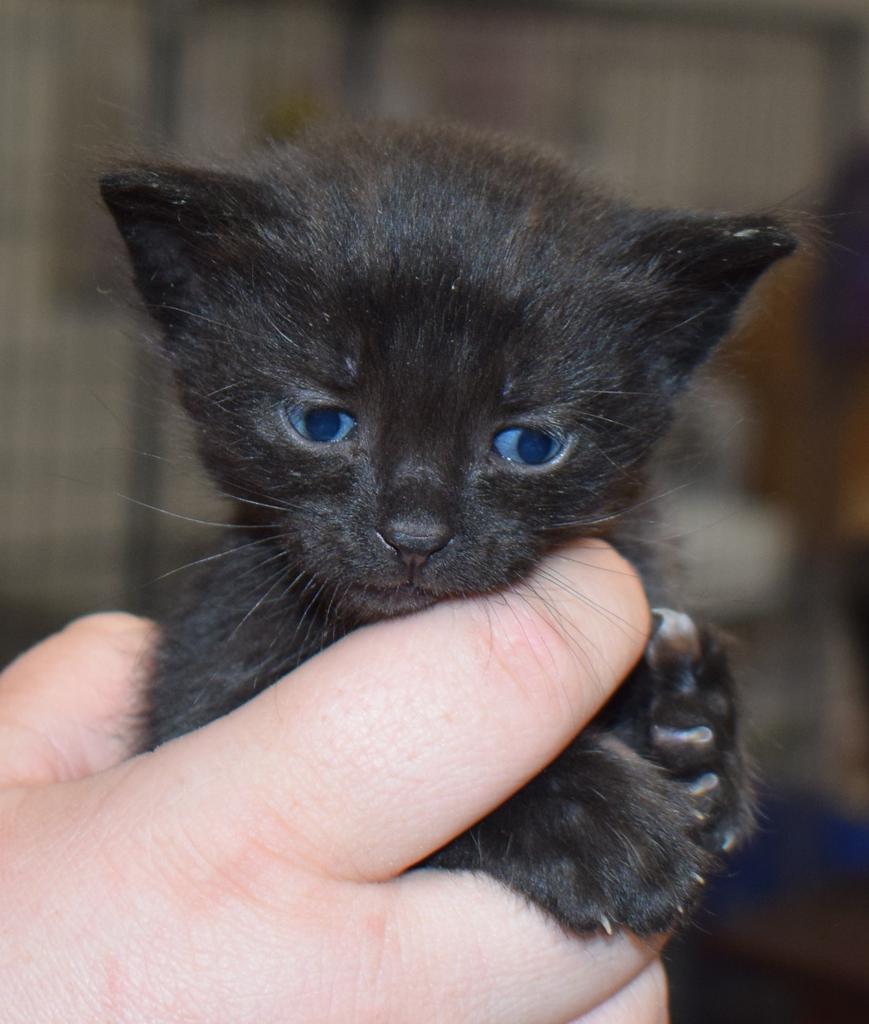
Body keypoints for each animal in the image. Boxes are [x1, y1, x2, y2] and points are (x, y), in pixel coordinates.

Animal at [99, 119, 794, 937]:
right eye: (320, 423)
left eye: (530, 444)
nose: (413, 535)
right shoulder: (201, 682)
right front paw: (587, 814)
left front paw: (692, 731)